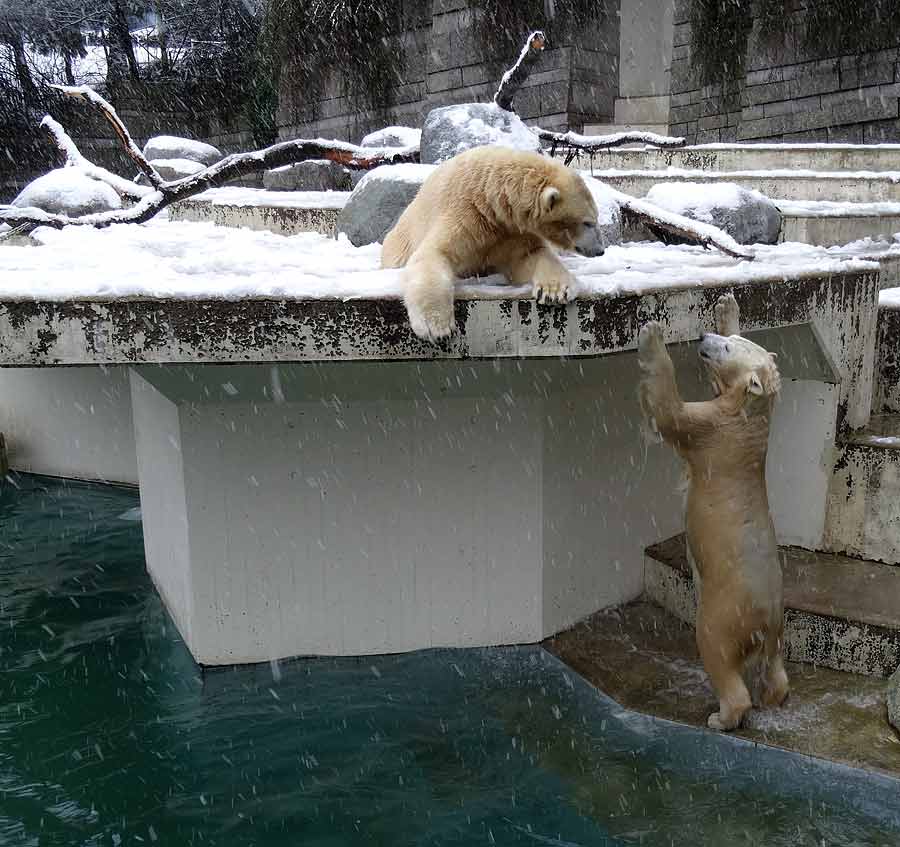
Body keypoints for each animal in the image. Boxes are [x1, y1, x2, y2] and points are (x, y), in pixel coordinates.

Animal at [380, 146, 604, 342]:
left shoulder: (511, 231)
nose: (600, 250)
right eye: (588, 222)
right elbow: (434, 254)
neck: (490, 196)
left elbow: (530, 255)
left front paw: (555, 292)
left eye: (596, 218)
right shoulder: (465, 213)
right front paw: (437, 328)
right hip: (399, 242)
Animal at [640, 294, 788, 732]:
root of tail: (764, 619)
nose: (704, 336)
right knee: (776, 669)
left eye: (724, 349)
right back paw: (773, 697)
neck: (750, 415)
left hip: (723, 613)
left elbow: (672, 414)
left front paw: (653, 334)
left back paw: (722, 717)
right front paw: (727, 305)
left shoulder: (713, 429)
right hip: (778, 631)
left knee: (717, 653)